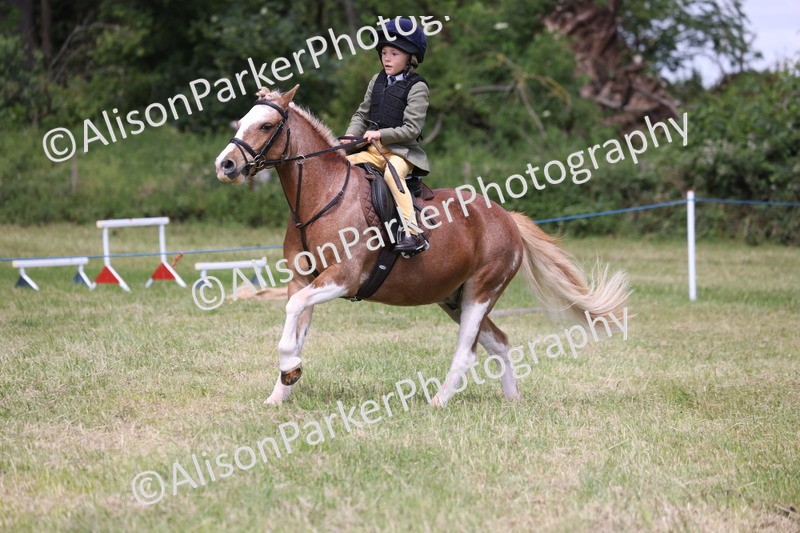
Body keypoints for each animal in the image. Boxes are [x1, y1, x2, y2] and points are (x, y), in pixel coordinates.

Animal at [214, 85, 630, 406]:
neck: (323, 196)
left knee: (467, 352)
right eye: (243, 121)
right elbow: (295, 327)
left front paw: (289, 371)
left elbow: (293, 314)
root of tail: (507, 218)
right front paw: (282, 388)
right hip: (454, 298)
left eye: (266, 125)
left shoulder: (342, 278)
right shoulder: (304, 279)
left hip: (481, 292)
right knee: (499, 342)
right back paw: (513, 400)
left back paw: (438, 400)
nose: (225, 165)